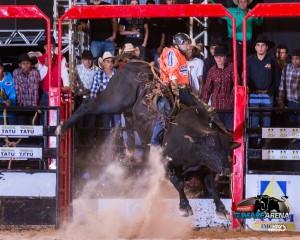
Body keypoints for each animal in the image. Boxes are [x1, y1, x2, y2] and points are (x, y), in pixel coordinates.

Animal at [57, 61, 240, 218]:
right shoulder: (166, 165)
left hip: (126, 110)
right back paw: (61, 127)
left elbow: (210, 186)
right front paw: (185, 207)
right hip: (115, 99)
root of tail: (131, 64)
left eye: (226, 150)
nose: (226, 169)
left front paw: (222, 209)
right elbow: (179, 183)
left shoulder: (203, 168)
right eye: (210, 149)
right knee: (89, 105)